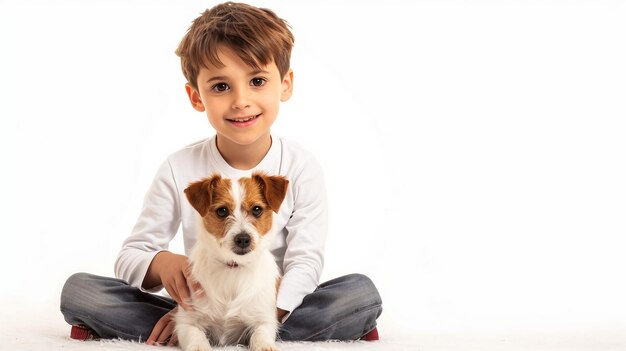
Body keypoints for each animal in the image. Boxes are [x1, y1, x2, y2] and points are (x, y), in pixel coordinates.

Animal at [174, 173, 288, 351]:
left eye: (257, 209)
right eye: (222, 211)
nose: (243, 239)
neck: (233, 267)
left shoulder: (263, 319)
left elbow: (260, 333)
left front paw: (264, 346)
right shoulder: (187, 321)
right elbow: (195, 334)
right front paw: (199, 346)